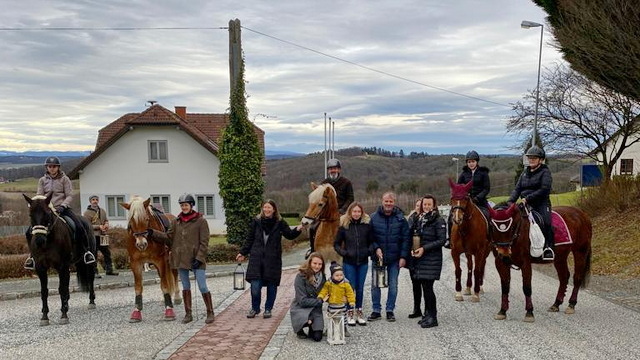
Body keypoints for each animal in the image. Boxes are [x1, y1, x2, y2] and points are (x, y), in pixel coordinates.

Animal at [22, 195, 96, 324]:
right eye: (30, 215)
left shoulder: (62, 265)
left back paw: (91, 302)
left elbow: (61, 289)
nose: (39, 241)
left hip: (87, 262)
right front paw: (44, 317)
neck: (48, 241)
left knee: (90, 278)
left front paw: (64, 315)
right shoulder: (41, 268)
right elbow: (44, 291)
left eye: (47, 213)